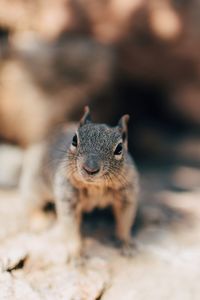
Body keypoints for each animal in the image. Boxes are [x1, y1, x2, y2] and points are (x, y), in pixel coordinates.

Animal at [20, 106, 139, 258]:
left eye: (119, 148)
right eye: (74, 140)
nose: (90, 168)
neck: (95, 187)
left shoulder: (128, 193)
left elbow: (125, 220)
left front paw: (125, 242)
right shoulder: (67, 196)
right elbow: (70, 228)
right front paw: (76, 254)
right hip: (34, 181)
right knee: (30, 202)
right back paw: (39, 221)